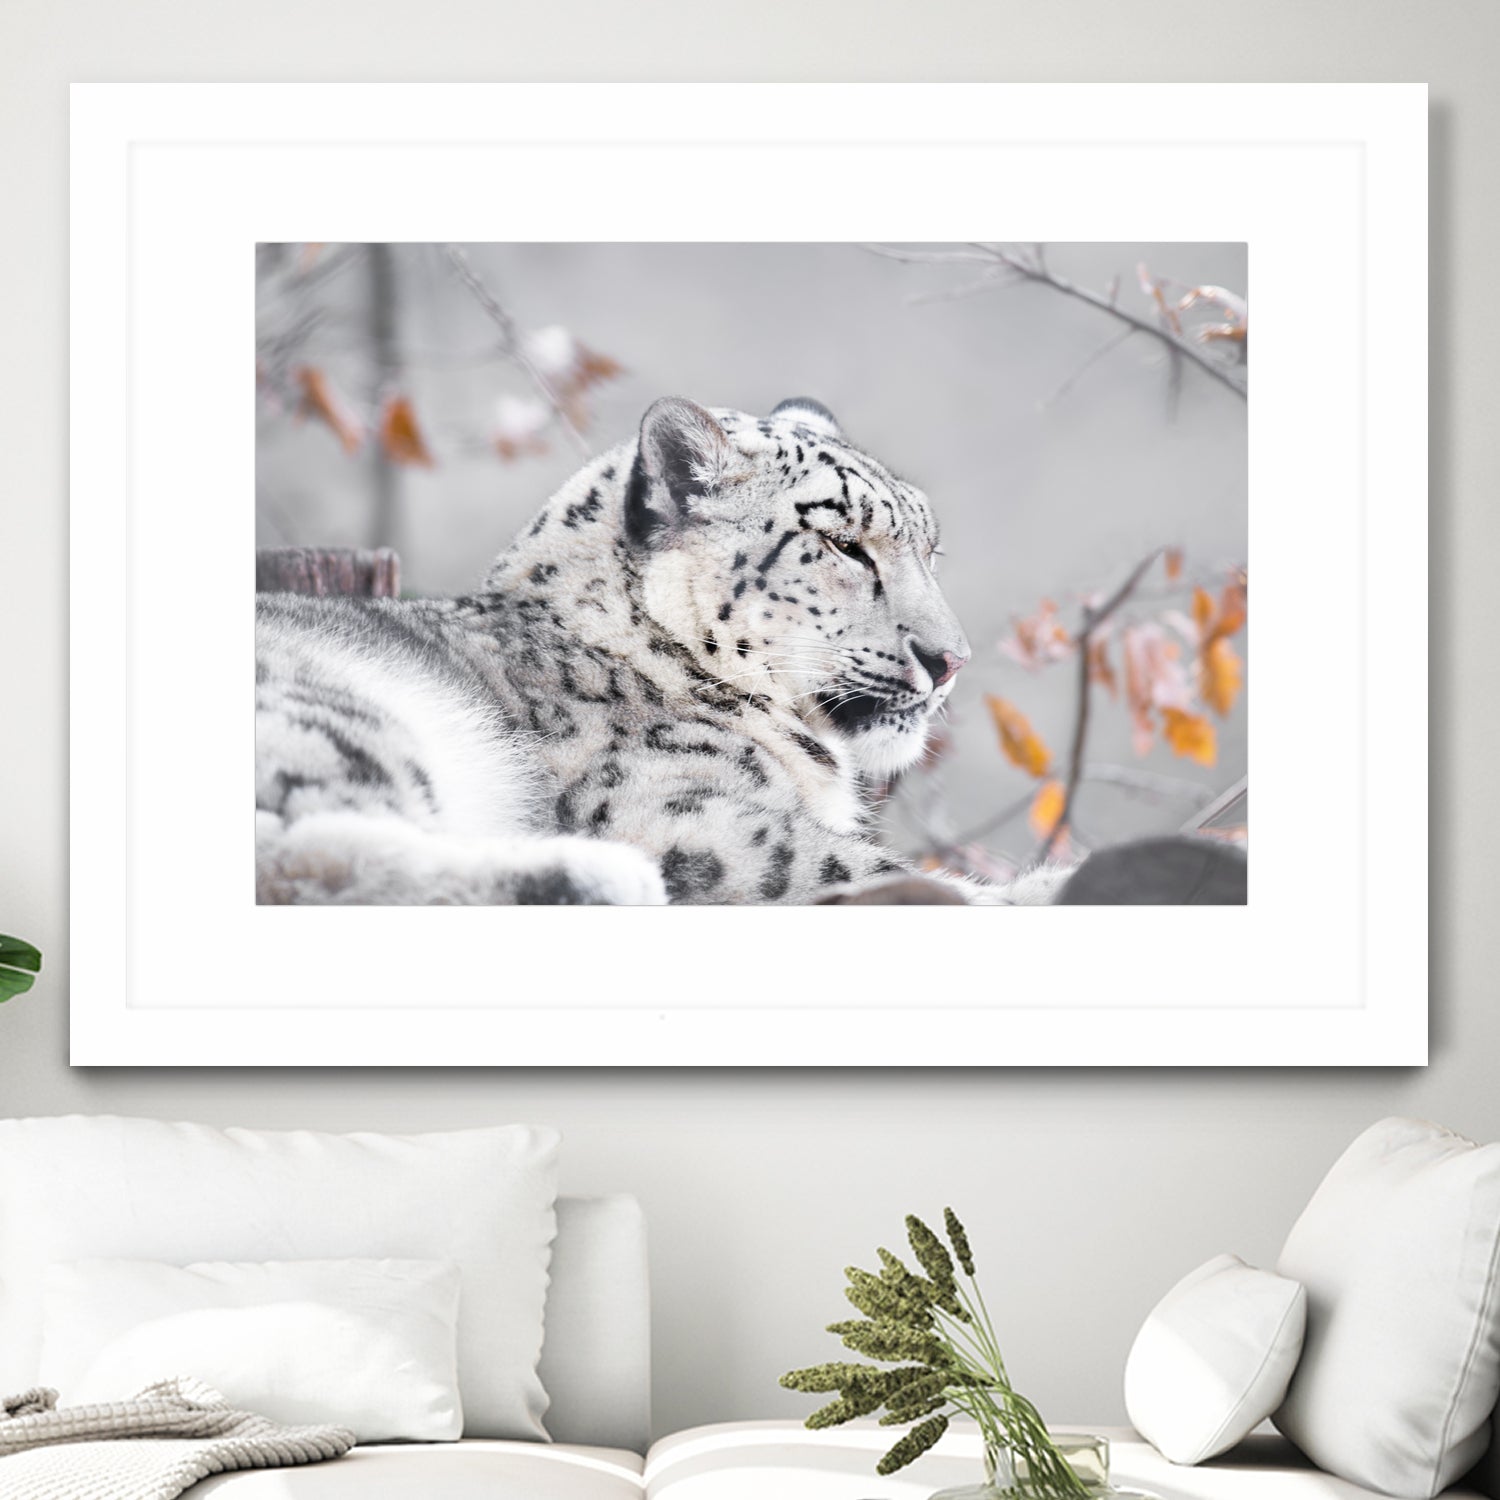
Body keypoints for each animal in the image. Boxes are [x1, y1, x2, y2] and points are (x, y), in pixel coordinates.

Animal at [255, 395, 1061, 905]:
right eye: (842, 543)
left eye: (931, 550)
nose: (949, 659)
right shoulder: (686, 816)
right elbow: (851, 866)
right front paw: (1039, 887)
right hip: (336, 711)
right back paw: (598, 877)